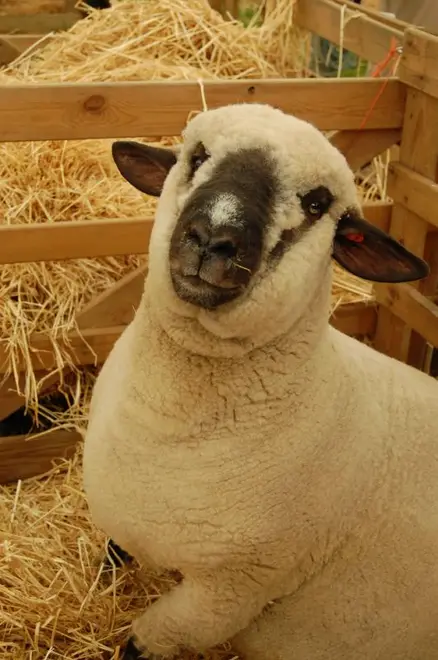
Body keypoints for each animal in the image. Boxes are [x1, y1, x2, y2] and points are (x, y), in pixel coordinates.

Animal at [82, 102, 438, 660]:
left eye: (317, 202)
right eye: (197, 155)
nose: (211, 239)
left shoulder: (231, 590)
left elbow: (148, 640)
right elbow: (113, 555)